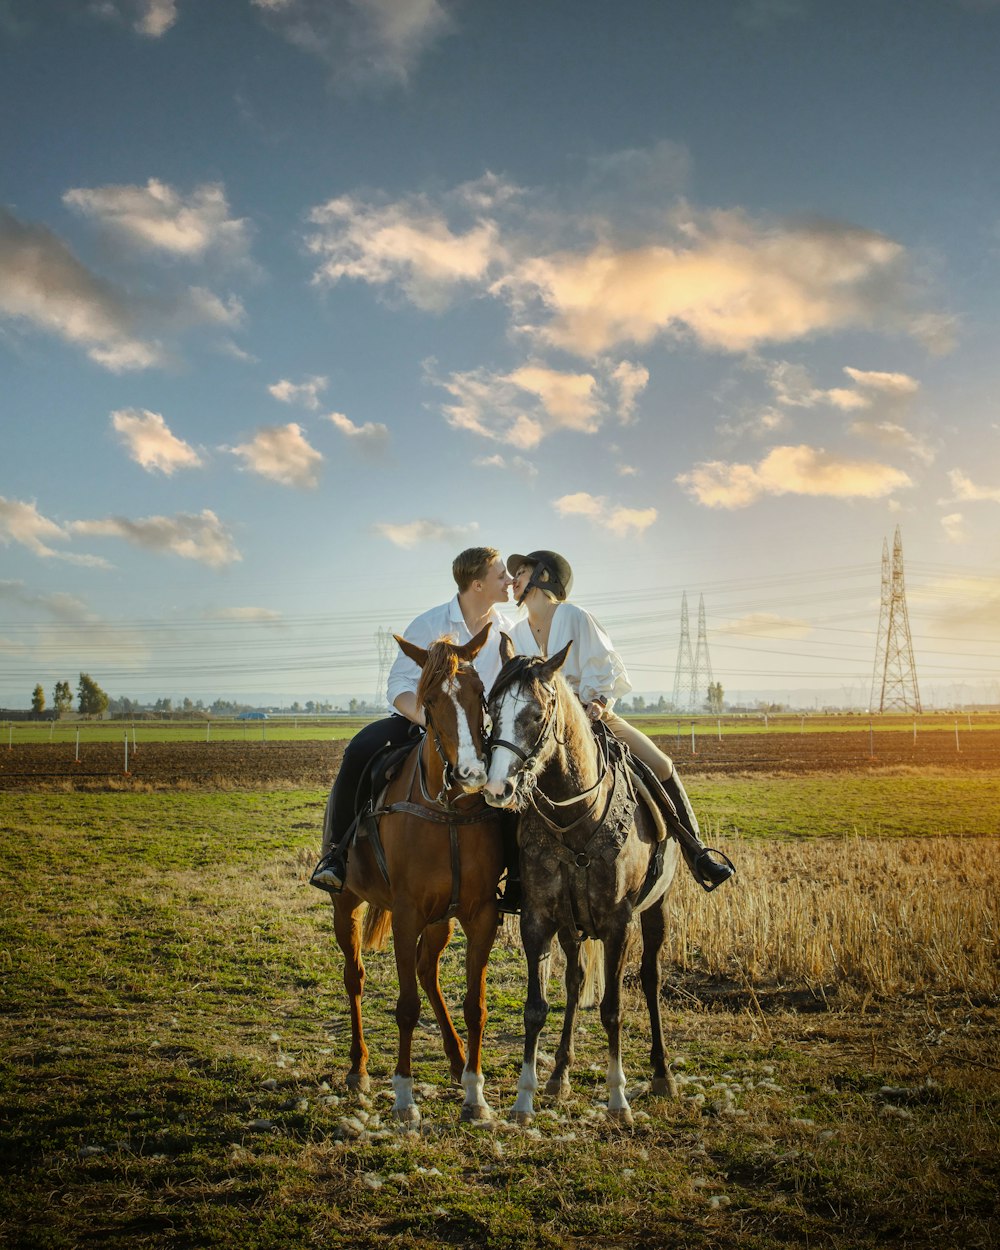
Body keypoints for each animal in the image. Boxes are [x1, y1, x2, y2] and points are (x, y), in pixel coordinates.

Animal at [327, 625, 505, 1125]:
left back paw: (456, 1058)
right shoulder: (406, 916)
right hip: (346, 904)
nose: (471, 773)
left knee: (428, 972)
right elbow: (405, 1007)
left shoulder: (480, 915)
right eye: (428, 699)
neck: (448, 810)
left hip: (440, 919)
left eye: (481, 692)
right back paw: (358, 1069)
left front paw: (475, 1094)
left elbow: (475, 1004)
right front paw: (404, 1097)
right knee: (355, 977)